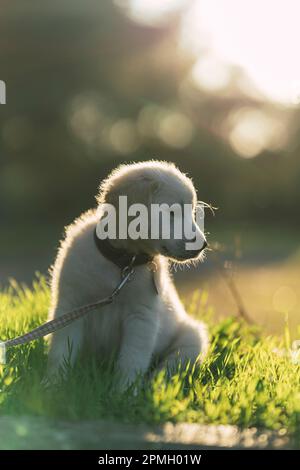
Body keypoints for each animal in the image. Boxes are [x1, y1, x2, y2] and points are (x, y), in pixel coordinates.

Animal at [47, 162, 210, 390]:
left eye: (193, 213)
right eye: (172, 213)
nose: (203, 244)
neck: (123, 263)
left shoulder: (141, 318)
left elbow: (132, 359)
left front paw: (123, 391)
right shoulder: (71, 306)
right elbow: (61, 350)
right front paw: (53, 385)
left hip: (192, 337)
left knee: (168, 367)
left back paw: (151, 386)